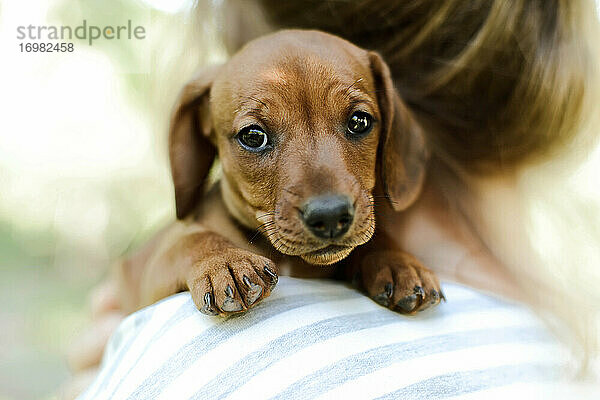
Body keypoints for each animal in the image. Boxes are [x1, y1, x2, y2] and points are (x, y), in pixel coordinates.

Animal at [119, 29, 442, 318]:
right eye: (253, 136)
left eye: (359, 121)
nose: (329, 217)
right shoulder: (153, 283)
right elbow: (190, 241)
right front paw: (224, 261)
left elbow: (372, 241)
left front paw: (397, 262)